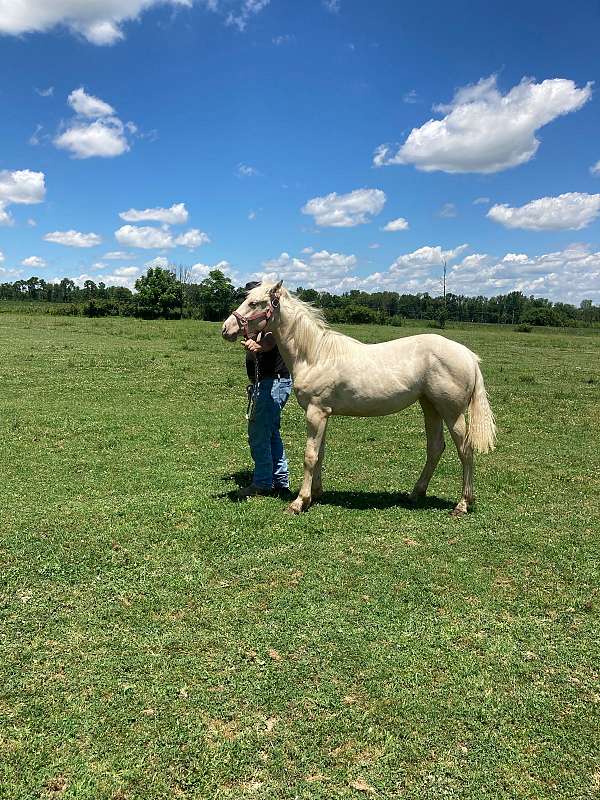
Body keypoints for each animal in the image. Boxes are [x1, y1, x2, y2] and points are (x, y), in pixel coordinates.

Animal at [221, 282, 496, 520]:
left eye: (255, 303)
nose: (226, 329)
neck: (315, 355)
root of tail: (469, 356)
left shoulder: (315, 413)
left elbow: (310, 455)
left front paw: (299, 502)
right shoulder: (324, 413)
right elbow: (320, 454)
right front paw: (316, 495)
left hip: (452, 413)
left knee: (465, 450)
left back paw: (462, 504)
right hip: (430, 407)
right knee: (436, 448)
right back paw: (415, 494)